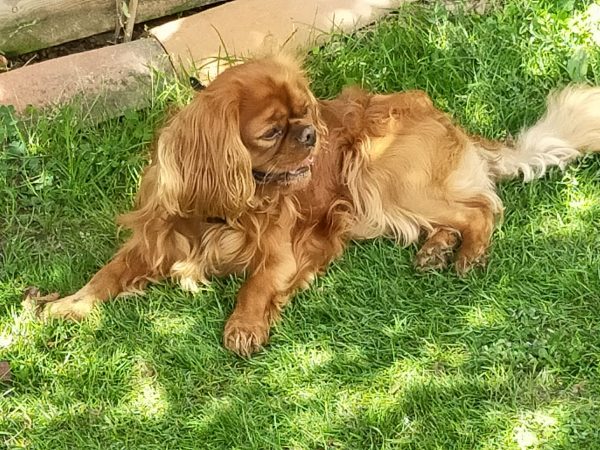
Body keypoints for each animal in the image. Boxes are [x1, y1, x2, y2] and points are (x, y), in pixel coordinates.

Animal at [37, 54, 600, 356]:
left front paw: (244, 326)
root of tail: (447, 120)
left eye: (304, 114)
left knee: (480, 209)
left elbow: (256, 283)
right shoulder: (153, 238)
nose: (310, 133)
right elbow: (107, 275)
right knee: (451, 215)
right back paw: (436, 250)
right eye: (270, 132)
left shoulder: (282, 253)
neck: (224, 210)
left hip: (378, 176)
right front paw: (67, 305)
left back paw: (467, 255)